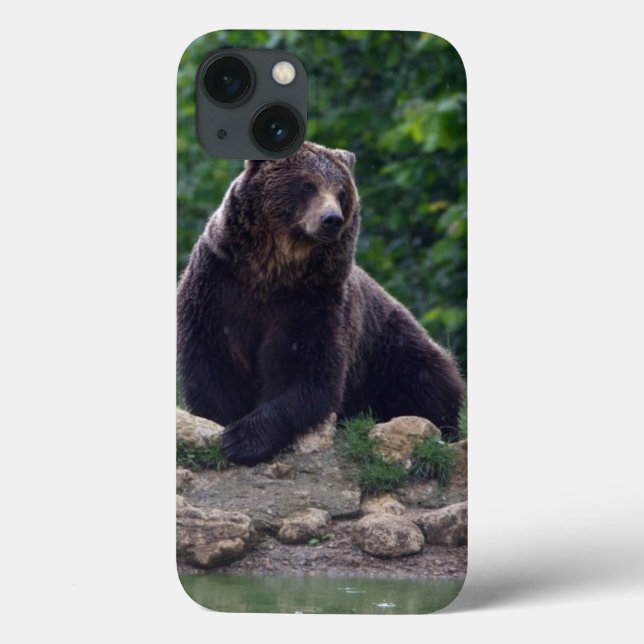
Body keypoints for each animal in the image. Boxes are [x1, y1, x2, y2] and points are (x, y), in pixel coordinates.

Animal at [177, 142, 465, 466]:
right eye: (307, 185)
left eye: (341, 192)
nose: (332, 219)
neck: (272, 271)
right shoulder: (219, 285)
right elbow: (212, 361)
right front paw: (224, 424)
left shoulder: (313, 300)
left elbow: (308, 371)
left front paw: (243, 439)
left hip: (392, 350)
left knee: (428, 382)